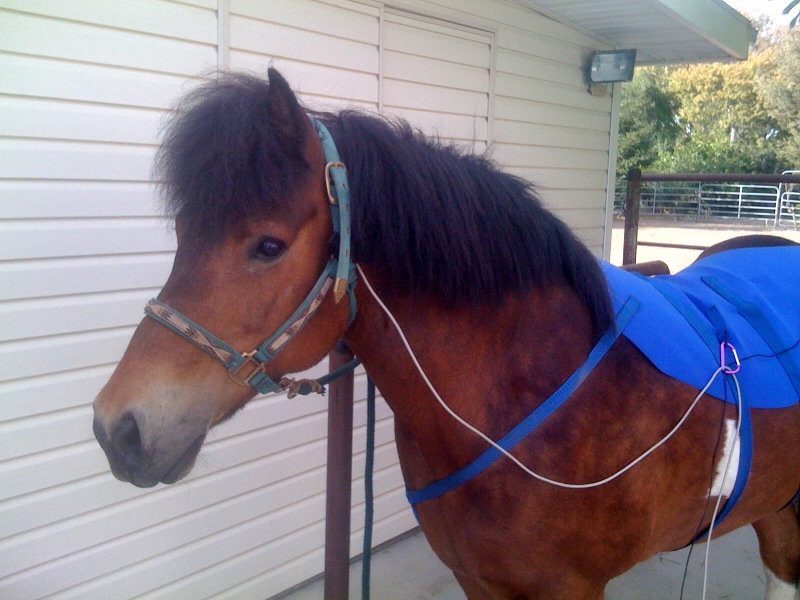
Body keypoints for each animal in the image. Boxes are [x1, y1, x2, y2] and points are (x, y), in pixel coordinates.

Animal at [92, 69, 800, 599]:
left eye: (268, 246)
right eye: (183, 235)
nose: (116, 428)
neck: (522, 397)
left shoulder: (570, 590)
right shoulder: (477, 580)